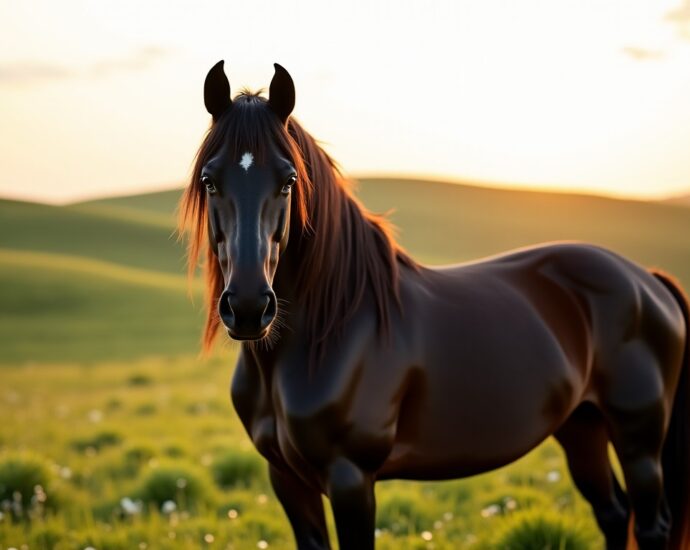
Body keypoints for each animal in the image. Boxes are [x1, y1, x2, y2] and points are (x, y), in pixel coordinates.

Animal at [179, 61, 690, 550]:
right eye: (209, 180)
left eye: (288, 181)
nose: (248, 307)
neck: (329, 331)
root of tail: (647, 280)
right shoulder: (286, 479)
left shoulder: (350, 478)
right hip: (582, 426)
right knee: (614, 514)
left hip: (638, 438)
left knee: (650, 525)